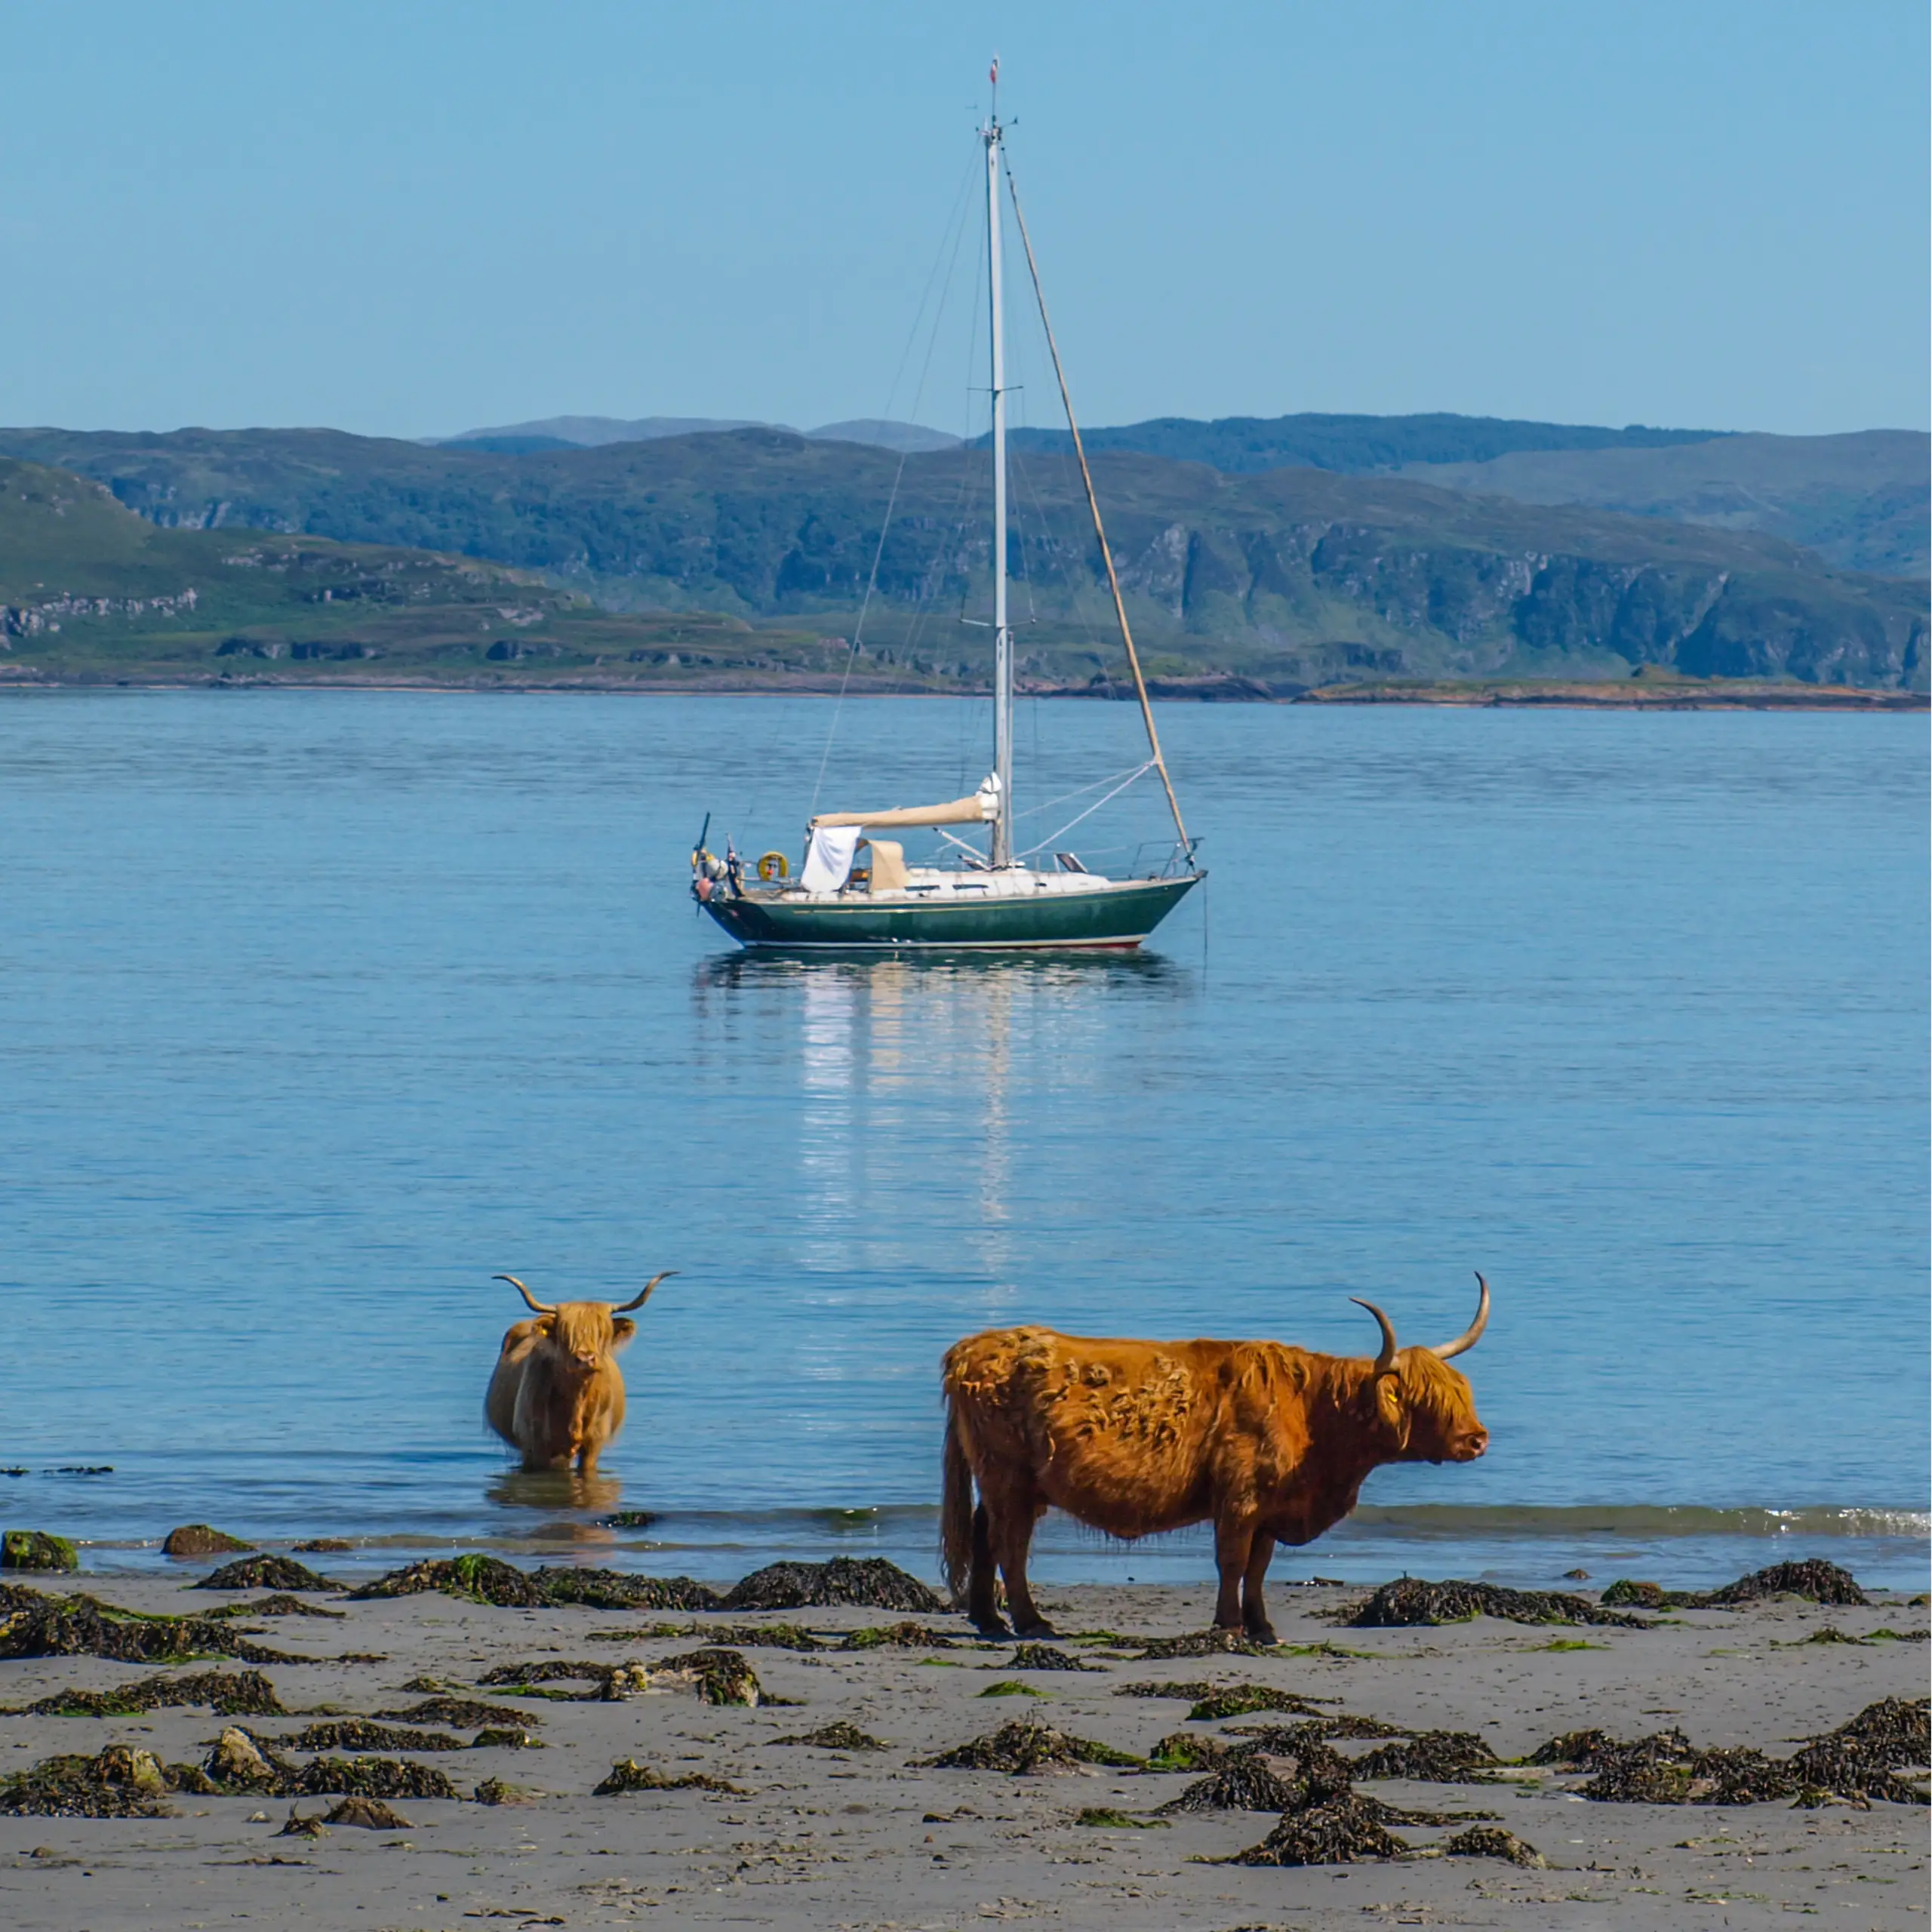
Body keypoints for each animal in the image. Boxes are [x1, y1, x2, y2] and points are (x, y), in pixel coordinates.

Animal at [939, 1275, 1490, 1643]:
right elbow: (1232, 1561)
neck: (1315, 1416)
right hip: (1008, 1476)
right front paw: (1228, 1627)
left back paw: (989, 1621)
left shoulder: (1271, 1508)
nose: (1478, 1439)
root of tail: (972, 1347)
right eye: (1427, 1400)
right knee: (1009, 1543)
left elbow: (1259, 1568)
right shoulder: (1240, 1500)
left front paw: (1262, 1628)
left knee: (984, 1533)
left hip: (1007, 1481)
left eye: (1461, 1391)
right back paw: (1031, 1623)